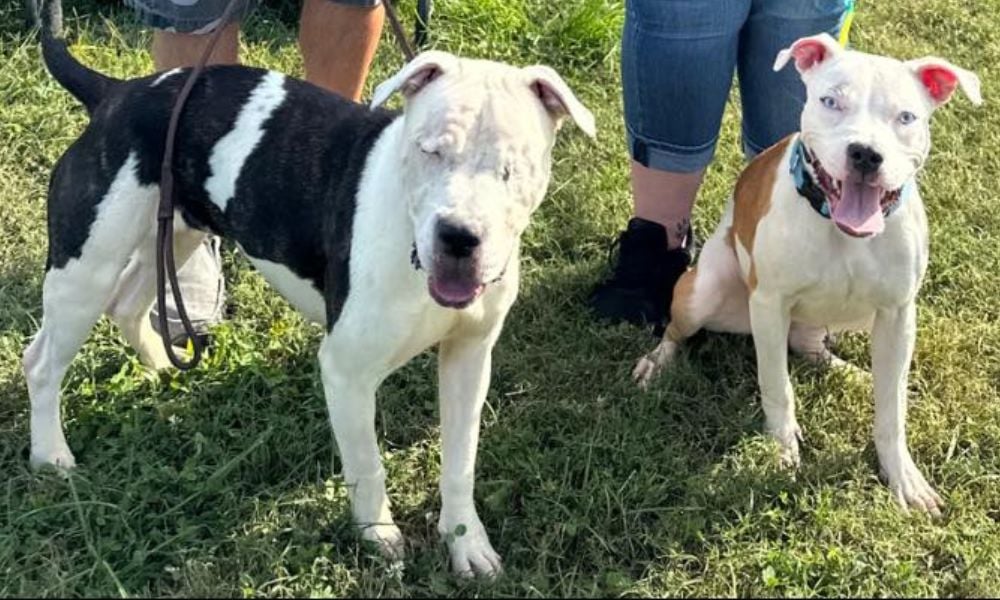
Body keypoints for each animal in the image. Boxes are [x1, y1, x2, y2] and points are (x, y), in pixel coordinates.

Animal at [23, 2, 592, 580]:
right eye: (429, 151)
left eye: (511, 169)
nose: (458, 235)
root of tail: (117, 93)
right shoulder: (347, 371)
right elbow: (367, 463)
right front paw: (378, 537)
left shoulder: (469, 359)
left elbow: (461, 463)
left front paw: (466, 541)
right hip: (86, 268)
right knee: (42, 361)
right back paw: (51, 454)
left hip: (177, 230)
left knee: (129, 302)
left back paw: (162, 365)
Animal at [636, 32, 980, 512]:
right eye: (830, 101)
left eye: (906, 117)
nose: (865, 154)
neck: (841, 227)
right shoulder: (769, 304)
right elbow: (777, 386)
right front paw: (781, 450)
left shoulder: (898, 314)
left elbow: (891, 409)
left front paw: (903, 477)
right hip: (704, 290)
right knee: (677, 330)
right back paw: (656, 364)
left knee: (811, 346)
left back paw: (852, 372)